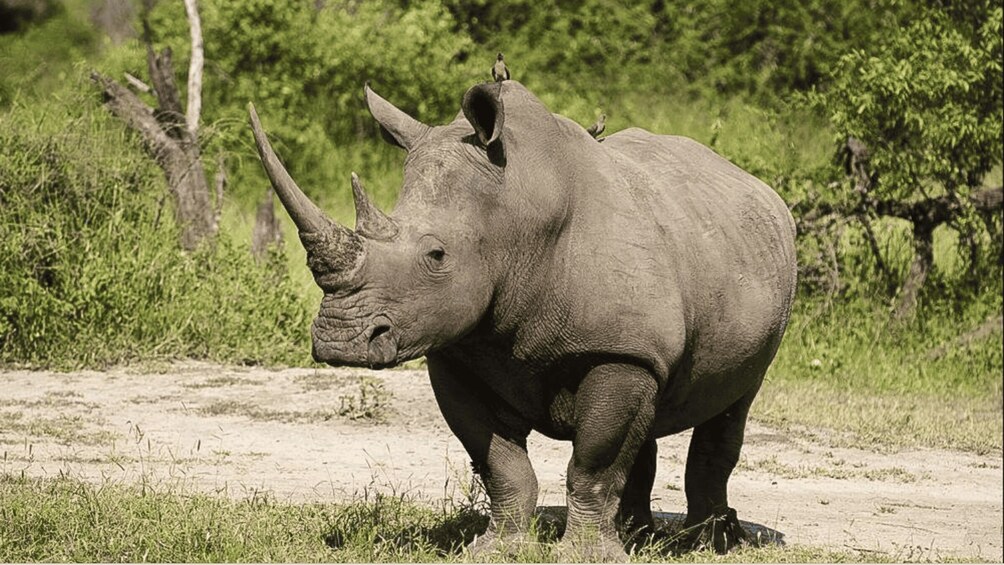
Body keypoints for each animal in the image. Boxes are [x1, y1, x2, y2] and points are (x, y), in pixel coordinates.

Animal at [248, 79, 797, 560]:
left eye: (436, 255)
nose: (340, 341)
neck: (514, 214)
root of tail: (756, 185)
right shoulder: (458, 353)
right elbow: (501, 464)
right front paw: (497, 550)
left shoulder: (618, 349)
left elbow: (593, 465)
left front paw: (587, 557)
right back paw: (640, 536)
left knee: (733, 404)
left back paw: (712, 544)